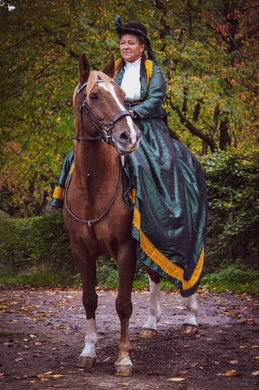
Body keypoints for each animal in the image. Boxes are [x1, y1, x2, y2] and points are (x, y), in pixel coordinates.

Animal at [64, 53, 200, 376]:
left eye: (122, 95)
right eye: (94, 96)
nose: (129, 136)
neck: (93, 185)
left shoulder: (125, 248)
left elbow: (123, 304)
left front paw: (124, 358)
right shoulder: (81, 251)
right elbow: (89, 300)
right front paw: (88, 351)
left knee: (190, 267)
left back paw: (191, 319)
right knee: (155, 274)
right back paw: (151, 324)